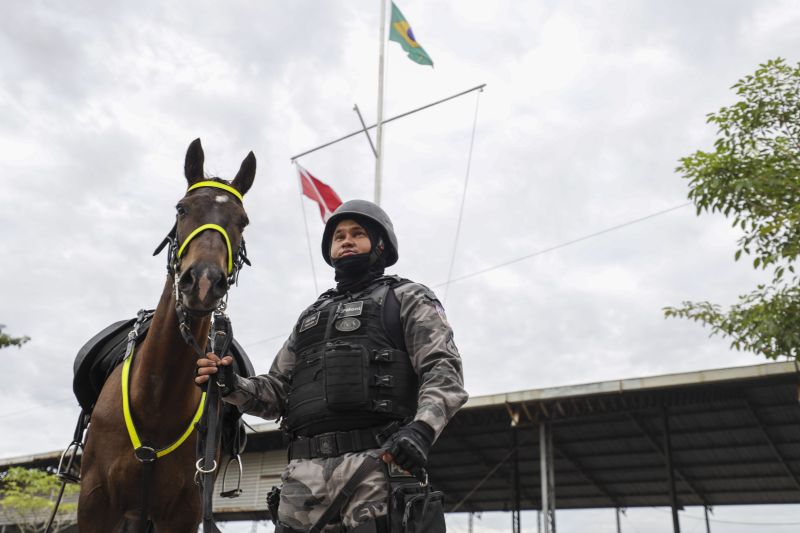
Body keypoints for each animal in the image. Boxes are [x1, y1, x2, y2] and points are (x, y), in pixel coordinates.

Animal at [78, 139, 256, 528]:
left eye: (243, 221)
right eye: (181, 208)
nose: (203, 281)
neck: (156, 401)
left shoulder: (184, 510)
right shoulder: (95, 503)